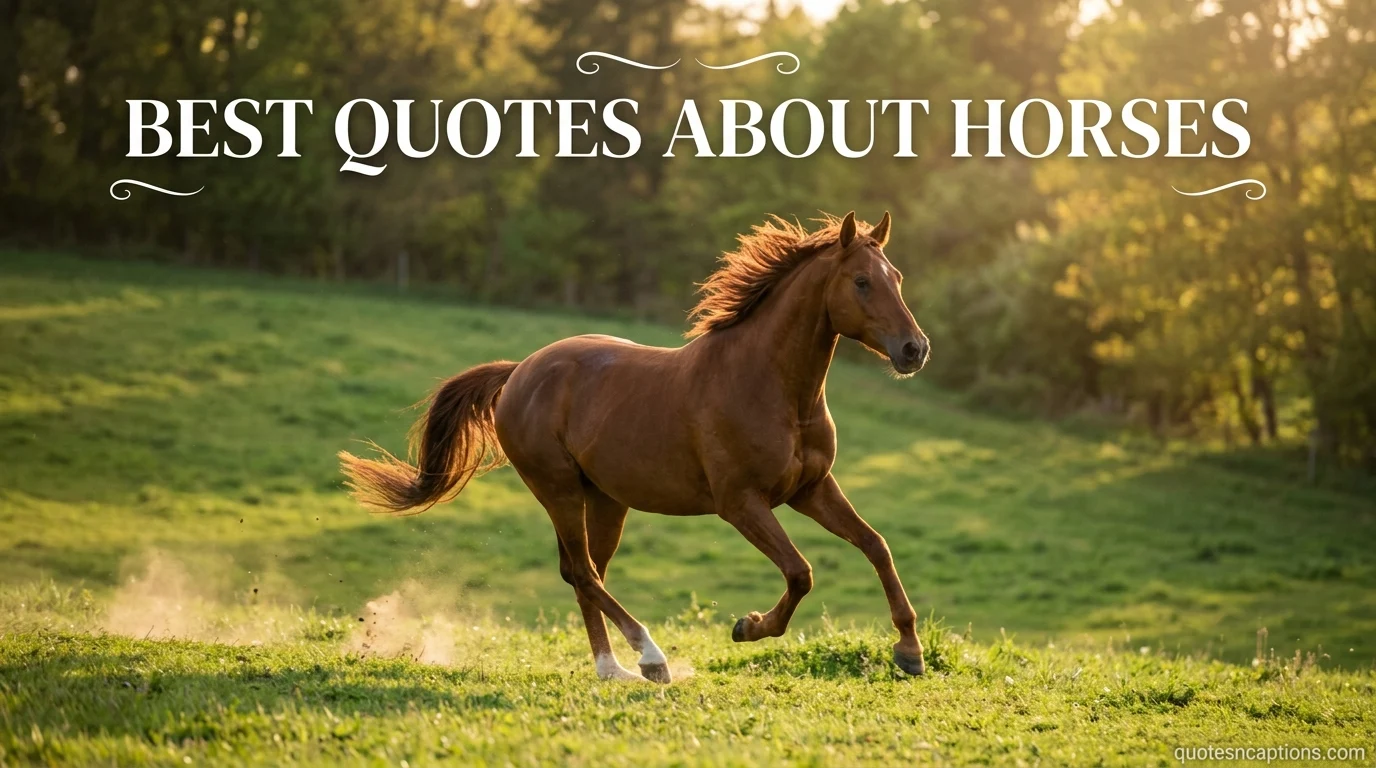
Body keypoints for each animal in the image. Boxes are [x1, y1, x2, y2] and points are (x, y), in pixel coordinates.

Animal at [340, 211, 931, 683]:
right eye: (861, 281)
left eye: (897, 278)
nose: (914, 350)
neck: (770, 386)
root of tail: (519, 372)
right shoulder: (740, 503)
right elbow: (800, 572)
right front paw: (747, 627)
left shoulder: (810, 488)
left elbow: (876, 546)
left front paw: (909, 651)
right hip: (558, 488)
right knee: (582, 572)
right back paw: (650, 658)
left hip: (605, 499)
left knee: (584, 573)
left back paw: (613, 669)